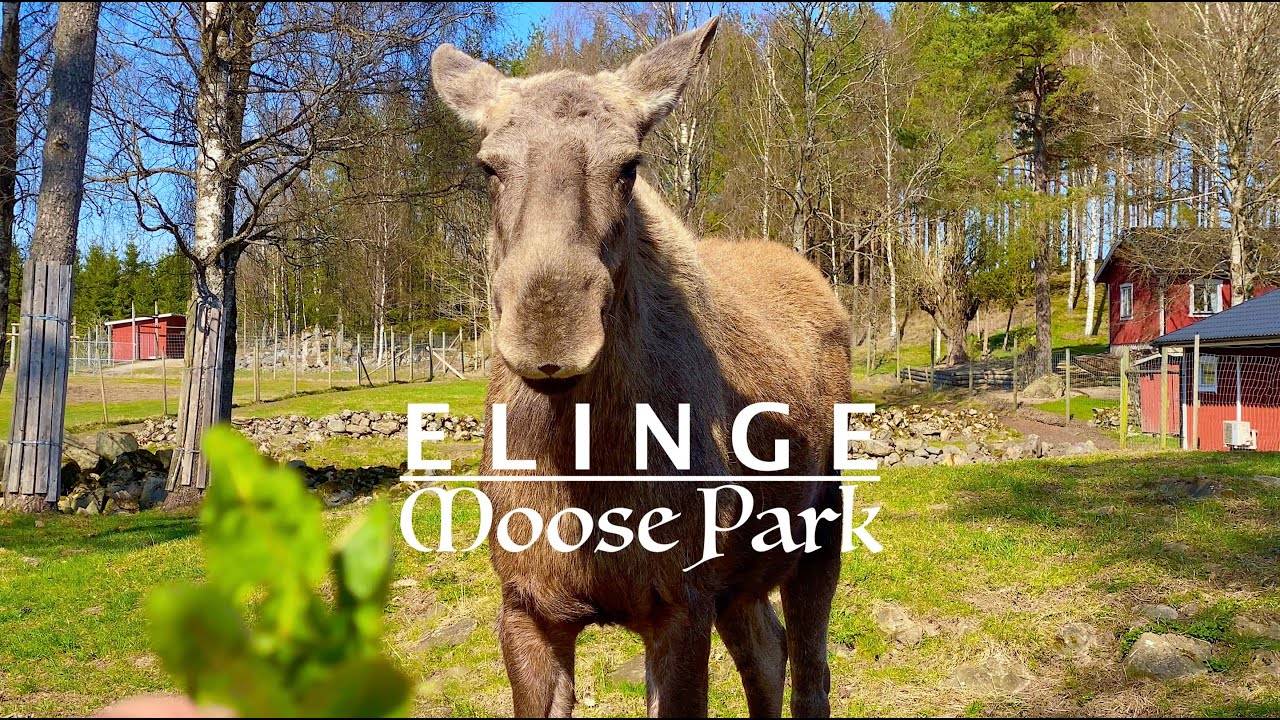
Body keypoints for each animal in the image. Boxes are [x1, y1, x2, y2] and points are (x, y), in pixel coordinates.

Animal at [431, 17, 852, 718]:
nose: (551, 326)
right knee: (768, 652)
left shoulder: (682, 601)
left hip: (823, 522)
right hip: (742, 576)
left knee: (810, 673)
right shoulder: (524, 604)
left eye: (629, 165)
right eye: (488, 166)